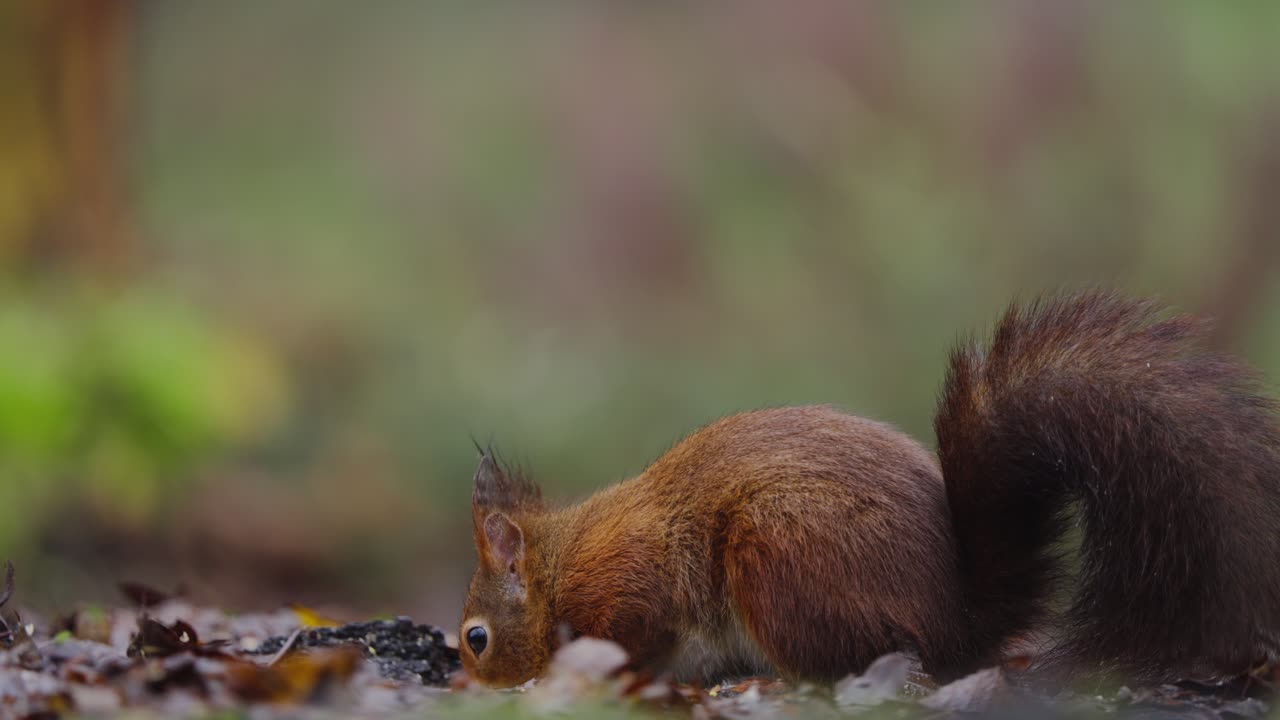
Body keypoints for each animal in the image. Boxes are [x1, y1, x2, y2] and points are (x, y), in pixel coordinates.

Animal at [458, 290, 1280, 688]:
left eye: (475, 639)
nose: (477, 686)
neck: (557, 567)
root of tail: (957, 619)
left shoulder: (625, 583)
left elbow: (641, 629)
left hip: (778, 555)